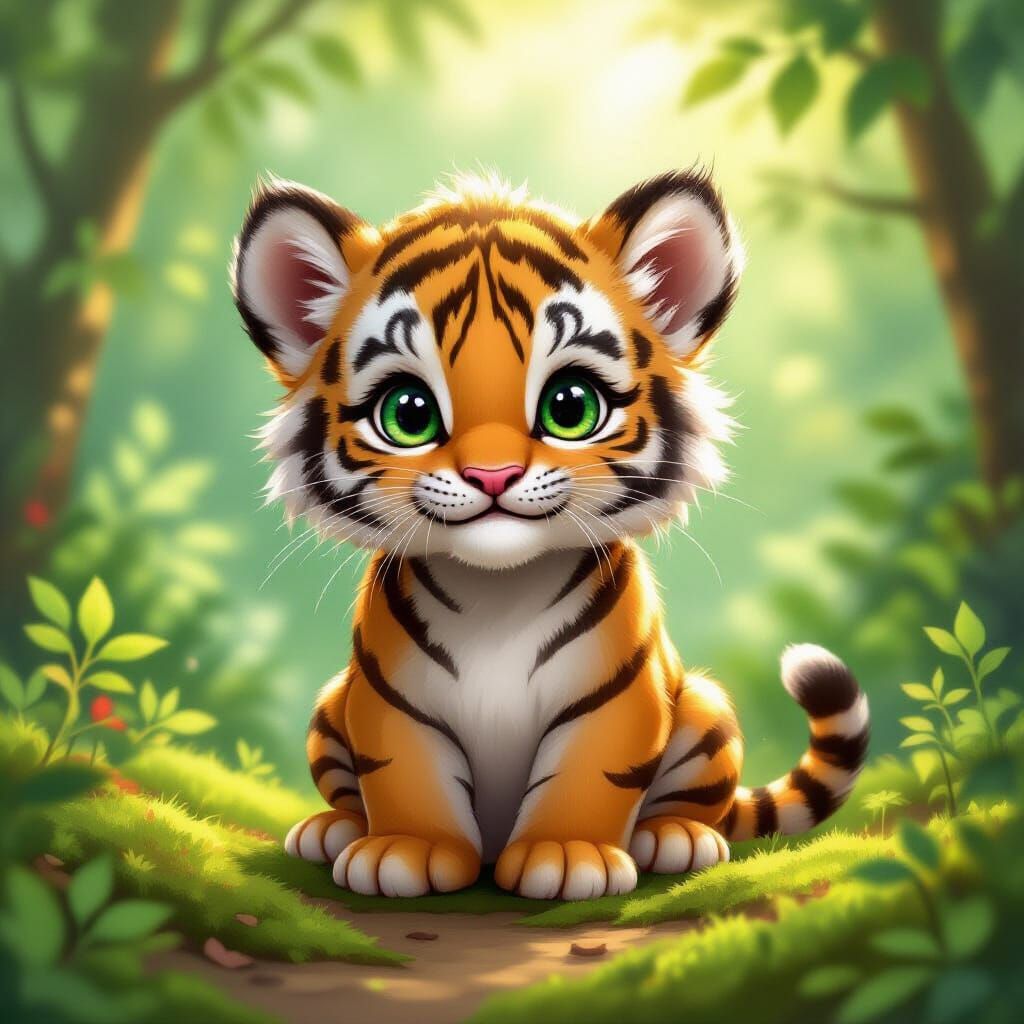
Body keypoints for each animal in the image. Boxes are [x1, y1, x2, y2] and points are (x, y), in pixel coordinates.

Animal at [229, 169, 869, 900]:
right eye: (409, 414)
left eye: (570, 406)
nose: (493, 474)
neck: (496, 597)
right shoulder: (391, 706)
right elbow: (403, 770)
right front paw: (406, 849)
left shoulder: (614, 703)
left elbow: (591, 773)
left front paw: (568, 856)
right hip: (330, 705)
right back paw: (332, 830)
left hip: (705, 710)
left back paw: (674, 839)